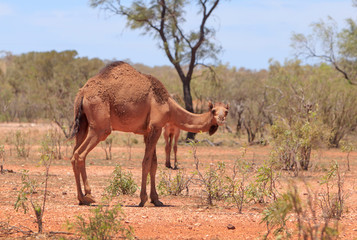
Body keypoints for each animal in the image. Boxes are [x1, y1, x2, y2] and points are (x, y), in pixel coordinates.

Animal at [69, 61, 228, 205]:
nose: (221, 120)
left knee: (73, 155)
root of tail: (82, 93)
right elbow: (146, 162)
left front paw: (156, 199)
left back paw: (81, 198)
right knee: (80, 154)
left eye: (226, 111)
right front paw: (143, 198)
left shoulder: (148, 131)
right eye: (214, 111)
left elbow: (154, 164)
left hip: (82, 123)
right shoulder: (156, 127)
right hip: (100, 127)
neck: (169, 106)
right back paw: (89, 195)